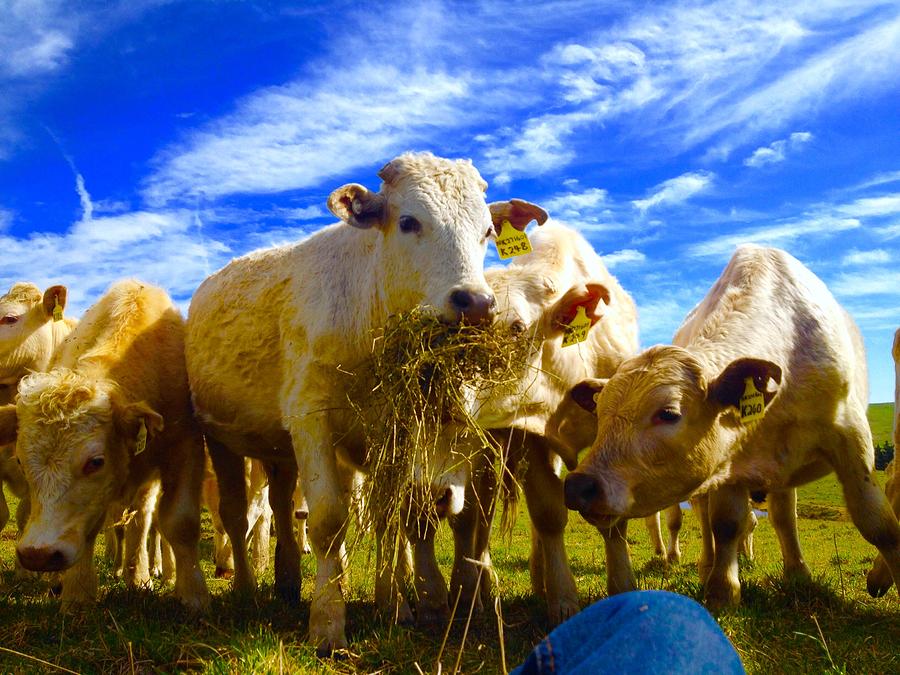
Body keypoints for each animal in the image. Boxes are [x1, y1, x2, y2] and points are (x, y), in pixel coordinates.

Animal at [0, 280, 209, 609]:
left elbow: (179, 522)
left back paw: (142, 575)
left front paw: (192, 594)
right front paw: (77, 594)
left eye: (95, 461)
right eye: (21, 461)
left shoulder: (185, 445)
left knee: (142, 523)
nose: (38, 555)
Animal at [184, 152, 546, 651]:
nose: (475, 303)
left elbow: (388, 518)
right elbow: (328, 520)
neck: (365, 316)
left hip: (279, 450)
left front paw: (394, 605)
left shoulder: (391, 432)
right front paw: (327, 621)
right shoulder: (311, 419)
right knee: (238, 515)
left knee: (280, 506)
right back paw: (244, 587)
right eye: (409, 222)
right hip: (220, 438)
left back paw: (287, 580)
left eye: (488, 232)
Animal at [564, 245, 900, 607]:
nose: (578, 485)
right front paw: (722, 590)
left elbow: (877, 522)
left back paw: (797, 573)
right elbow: (725, 524)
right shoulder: (729, 462)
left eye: (668, 413)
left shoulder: (851, 436)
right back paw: (709, 566)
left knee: (784, 516)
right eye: (600, 416)